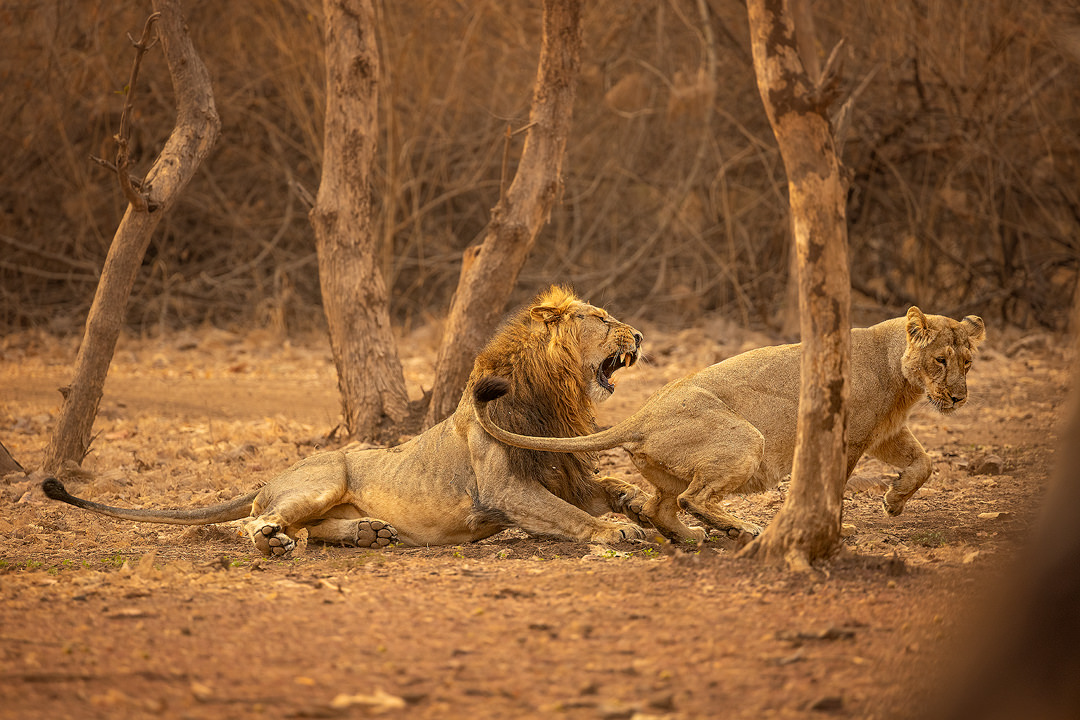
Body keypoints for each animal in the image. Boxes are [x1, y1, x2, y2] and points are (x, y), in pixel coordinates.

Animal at [42, 287, 652, 557]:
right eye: (603, 320)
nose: (641, 334)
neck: (550, 397)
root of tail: (271, 476)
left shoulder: (562, 473)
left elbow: (605, 487)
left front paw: (637, 503)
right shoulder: (504, 489)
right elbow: (568, 515)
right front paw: (615, 530)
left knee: (306, 527)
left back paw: (366, 532)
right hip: (324, 479)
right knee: (256, 522)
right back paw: (273, 543)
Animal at [473, 306, 989, 544]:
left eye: (967, 362)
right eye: (941, 360)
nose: (959, 397)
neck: (900, 378)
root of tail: (642, 414)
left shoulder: (886, 433)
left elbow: (924, 464)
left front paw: (894, 502)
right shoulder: (846, 436)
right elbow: (836, 483)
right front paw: (835, 525)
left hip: (669, 469)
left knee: (662, 506)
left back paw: (696, 535)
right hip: (746, 438)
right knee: (693, 498)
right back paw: (743, 528)